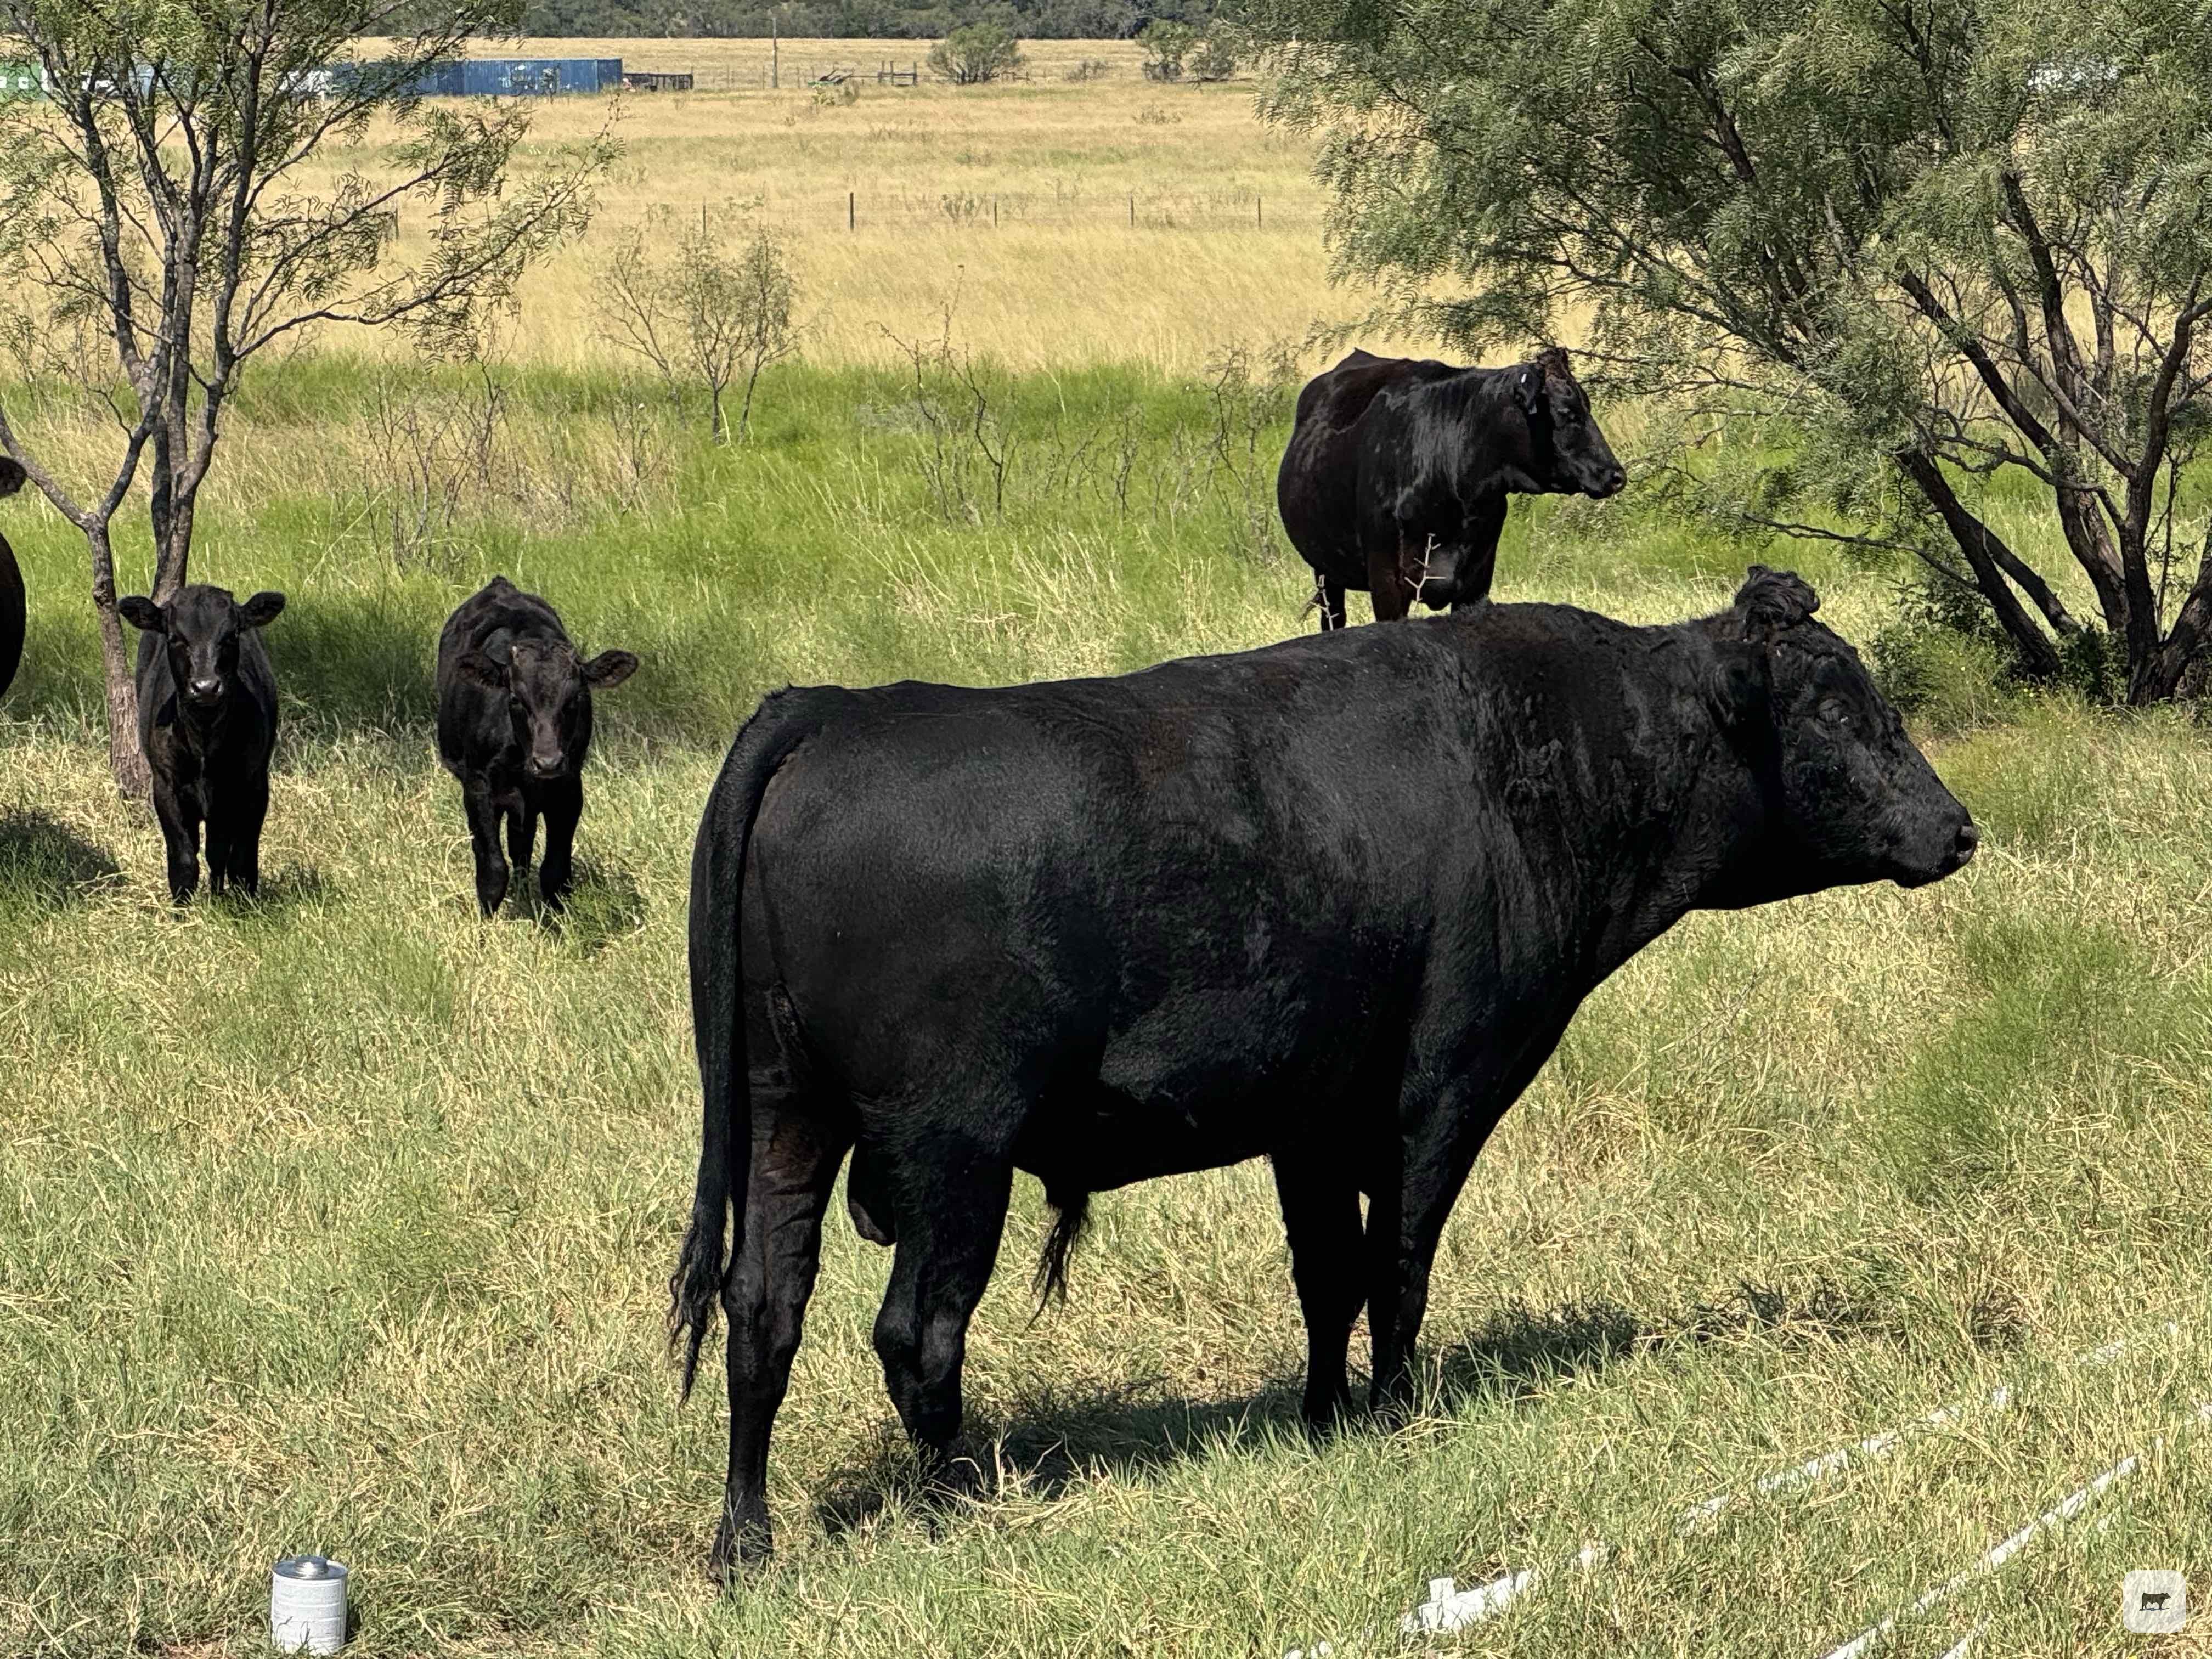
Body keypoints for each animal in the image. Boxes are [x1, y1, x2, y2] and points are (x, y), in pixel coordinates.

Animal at [118, 584, 287, 903]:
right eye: (175, 638)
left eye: (231, 635)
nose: (206, 687)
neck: (205, 741)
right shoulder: (166, 786)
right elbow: (184, 860)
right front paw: (182, 909)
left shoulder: (254, 785)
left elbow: (242, 860)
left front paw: (245, 906)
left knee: (218, 853)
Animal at [434, 576, 637, 917]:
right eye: (516, 699)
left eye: (575, 699)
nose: (548, 762)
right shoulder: (478, 787)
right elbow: (492, 870)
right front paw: (486, 927)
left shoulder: (569, 789)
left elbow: (555, 872)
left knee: (522, 846)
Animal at [667, 565, 1979, 1573]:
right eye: (1839, 712)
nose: (1959, 827)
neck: (1540, 751)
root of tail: (831, 710)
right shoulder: (1444, 1089)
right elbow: (1397, 1264)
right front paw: (1393, 1417)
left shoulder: (1307, 1110)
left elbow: (1326, 1274)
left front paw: (1322, 1419)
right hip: (953, 1147)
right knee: (916, 1333)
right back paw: (954, 1507)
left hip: (785, 1117)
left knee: (761, 1311)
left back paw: (745, 1544)